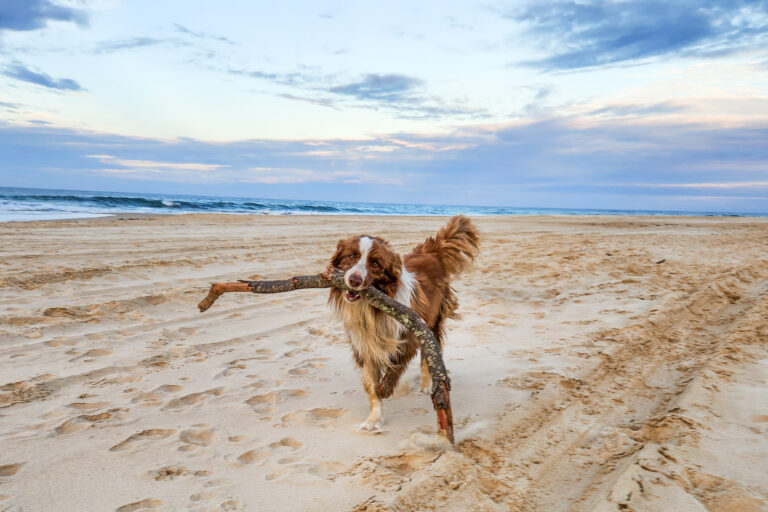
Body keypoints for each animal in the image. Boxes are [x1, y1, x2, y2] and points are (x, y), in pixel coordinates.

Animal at [328, 216, 480, 432]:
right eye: (351, 256)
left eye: (375, 263)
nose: (355, 280)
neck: (372, 309)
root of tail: (431, 251)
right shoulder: (364, 344)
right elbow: (371, 388)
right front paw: (373, 420)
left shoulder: (407, 338)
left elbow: (393, 369)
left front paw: (385, 389)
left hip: (431, 322)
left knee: (429, 354)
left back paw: (425, 384)